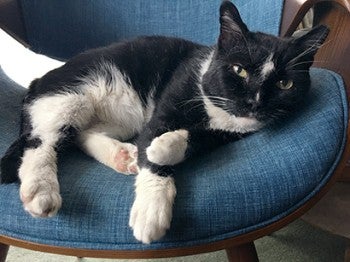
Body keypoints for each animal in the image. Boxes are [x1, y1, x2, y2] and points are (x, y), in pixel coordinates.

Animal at [0, 1, 328, 245]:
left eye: (285, 83)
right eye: (240, 70)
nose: (255, 102)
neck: (215, 107)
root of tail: (40, 78)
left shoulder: (231, 132)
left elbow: (195, 140)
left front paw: (164, 147)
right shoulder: (174, 90)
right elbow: (154, 140)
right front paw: (151, 213)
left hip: (122, 117)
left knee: (83, 133)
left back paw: (123, 155)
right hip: (74, 94)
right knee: (41, 141)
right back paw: (41, 191)